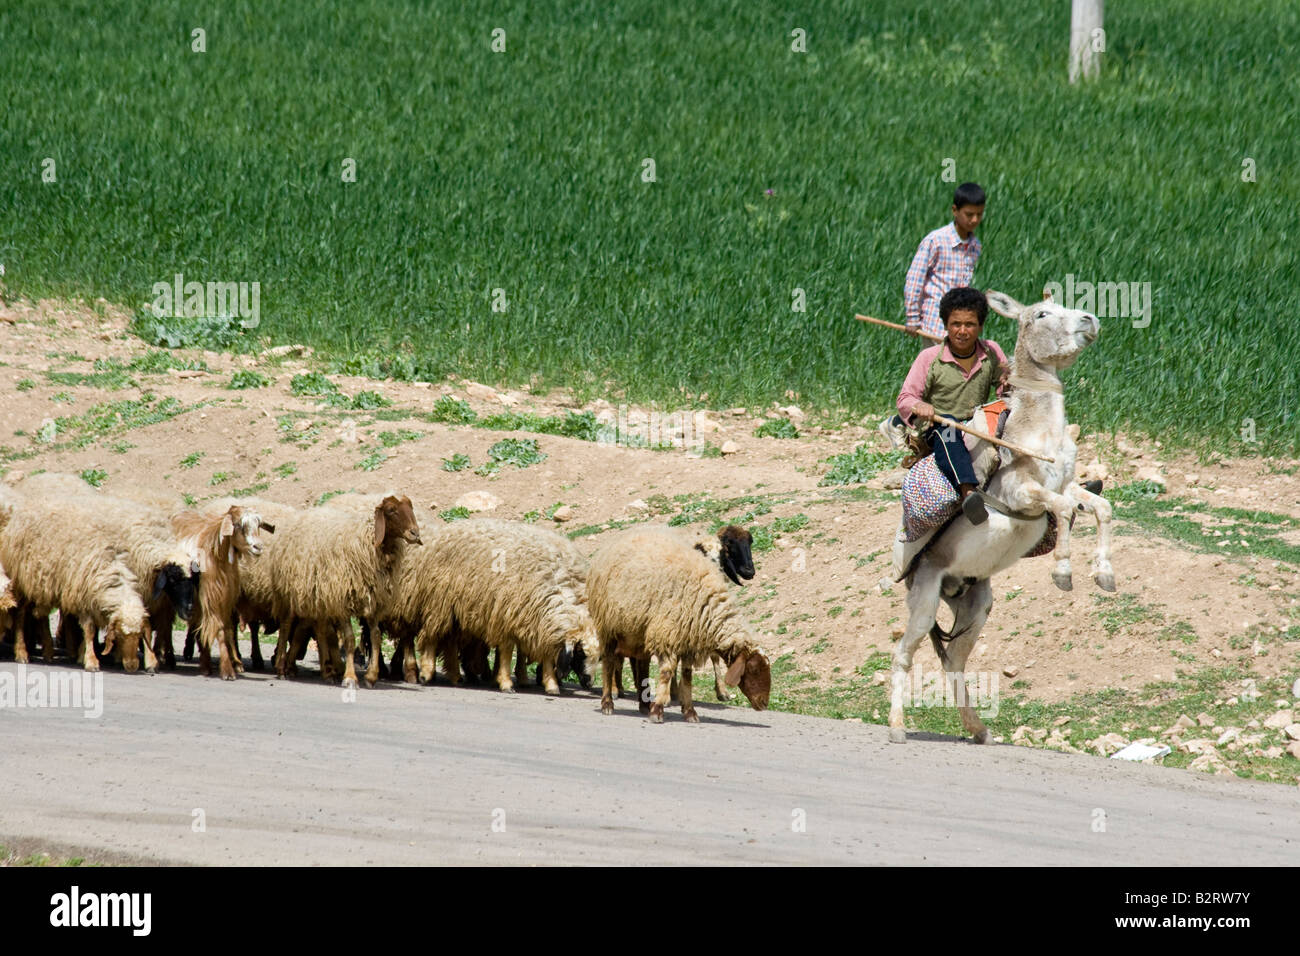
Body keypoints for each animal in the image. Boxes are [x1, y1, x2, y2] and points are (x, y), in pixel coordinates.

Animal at [170, 504, 274, 676]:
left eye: (258, 525)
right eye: (238, 525)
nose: (258, 547)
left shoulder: (226, 597)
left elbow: (226, 630)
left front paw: (225, 664)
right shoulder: (209, 596)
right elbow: (218, 629)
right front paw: (226, 669)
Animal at [265, 494, 421, 686]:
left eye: (410, 507)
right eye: (391, 510)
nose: (415, 533)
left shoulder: (372, 601)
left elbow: (376, 636)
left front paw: (371, 676)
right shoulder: (343, 601)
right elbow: (349, 639)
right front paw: (350, 677)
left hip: (318, 596)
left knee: (320, 630)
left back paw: (327, 671)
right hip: (288, 593)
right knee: (286, 626)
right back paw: (281, 668)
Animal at [384, 515, 598, 697]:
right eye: (580, 652)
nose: (589, 682)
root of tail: (448, 530)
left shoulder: (537, 623)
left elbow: (543, 655)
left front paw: (550, 684)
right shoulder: (507, 616)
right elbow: (506, 652)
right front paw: (505, 682)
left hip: (457, 609)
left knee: (450, 640)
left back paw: (456, 675)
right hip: (440, 604)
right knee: (430, 636)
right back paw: (424, 673)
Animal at [590, 522, 769, 723]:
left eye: (750, 542)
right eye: (754, 670)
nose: (764, 703)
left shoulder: (691, 635)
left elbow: (689, 674)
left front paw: (692, 706)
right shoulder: (670, 632)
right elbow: (669, 670)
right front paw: (662, 705)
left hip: (637, 629)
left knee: (640, 663)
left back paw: (643, 703)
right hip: (610, 625)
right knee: (610, 660)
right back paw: (609, 699)